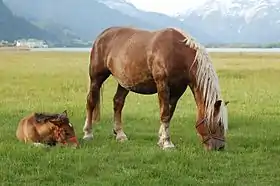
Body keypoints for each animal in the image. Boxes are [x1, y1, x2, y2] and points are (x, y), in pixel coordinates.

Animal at [82, 26, 229, 151]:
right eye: (218, 124)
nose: (220, 147)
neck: (178, 52)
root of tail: (103, 34)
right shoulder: (162, 84)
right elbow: (165, 113)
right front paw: (167, 143)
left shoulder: (178, 90)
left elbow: (169, 113)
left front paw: (161, 139)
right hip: (96, 77)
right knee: (91, 101)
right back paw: (88, 133)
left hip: (124, 83)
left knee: (118, 103)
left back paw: (120, 134)